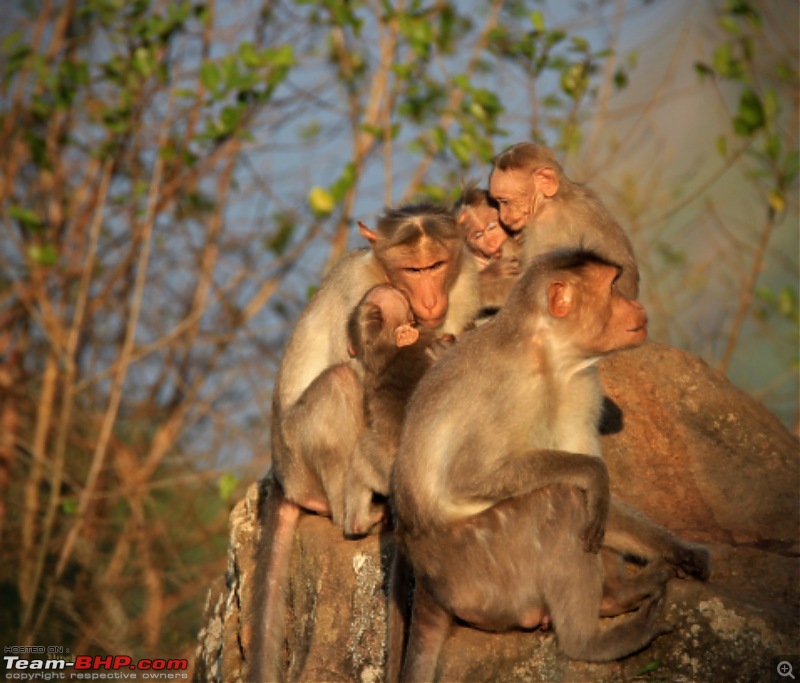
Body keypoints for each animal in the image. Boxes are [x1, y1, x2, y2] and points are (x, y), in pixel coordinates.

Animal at [344, 284, 456, 540]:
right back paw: (358, 522)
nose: (416, 317)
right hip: (382, 470)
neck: (390, 354)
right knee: (363, 451)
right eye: (411, 318)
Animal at [390, 248, 708, 680]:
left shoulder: (582, 384)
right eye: (613, 288)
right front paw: (594, 475)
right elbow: (468, 476)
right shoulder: (510, 389)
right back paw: (590, 644)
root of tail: (428, 582)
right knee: (560, 499)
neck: (549, 355)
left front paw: (680, 551)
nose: (637, 306)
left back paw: (615, 597)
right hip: (480, 576)